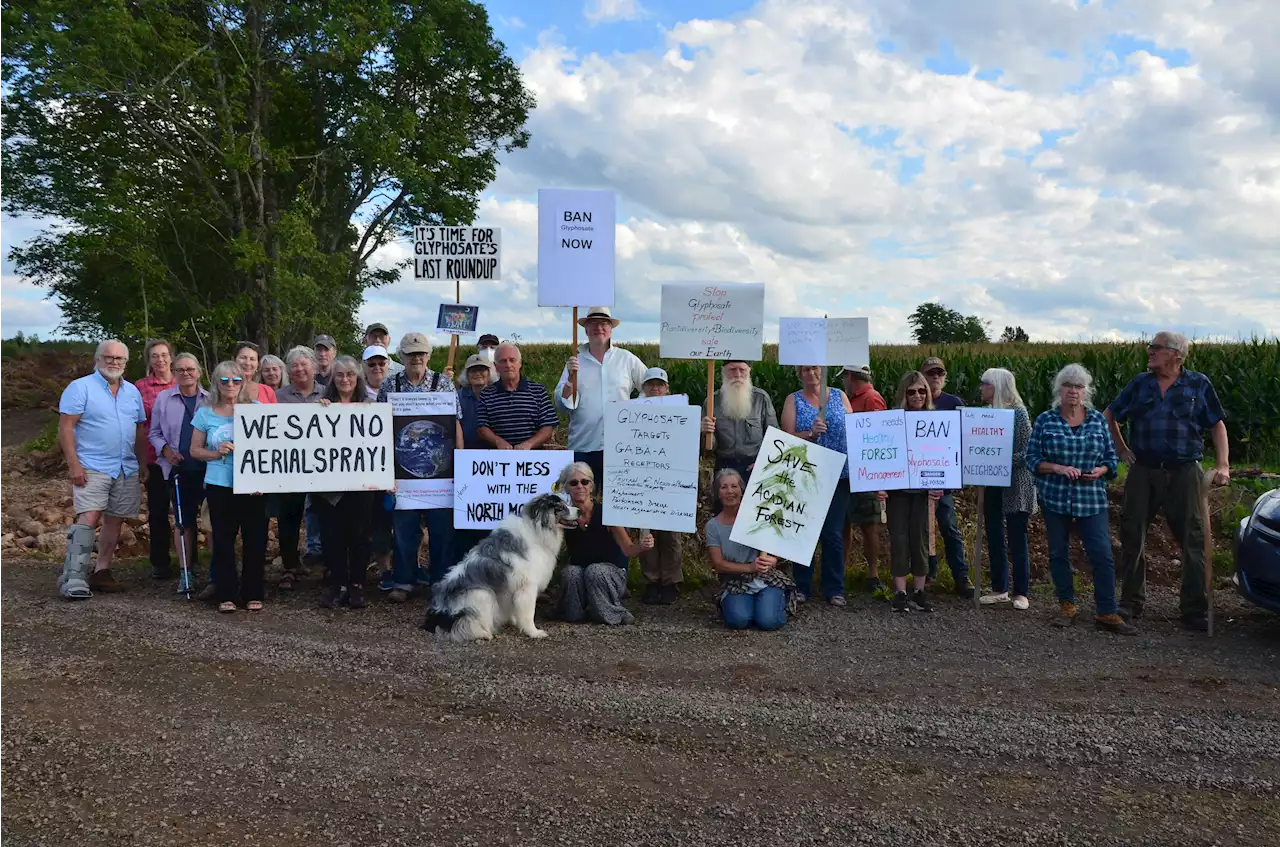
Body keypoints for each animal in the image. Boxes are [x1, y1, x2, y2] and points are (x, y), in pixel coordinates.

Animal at [422, 491, 578, 644]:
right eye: (560, 507)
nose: (580, 511)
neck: (535, 530)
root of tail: (438, 614)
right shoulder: (527, 587)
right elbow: (528, 614)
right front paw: (534, 632)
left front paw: (515, 621)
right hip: (481, 595)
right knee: (465, 625)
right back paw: (484, 634)